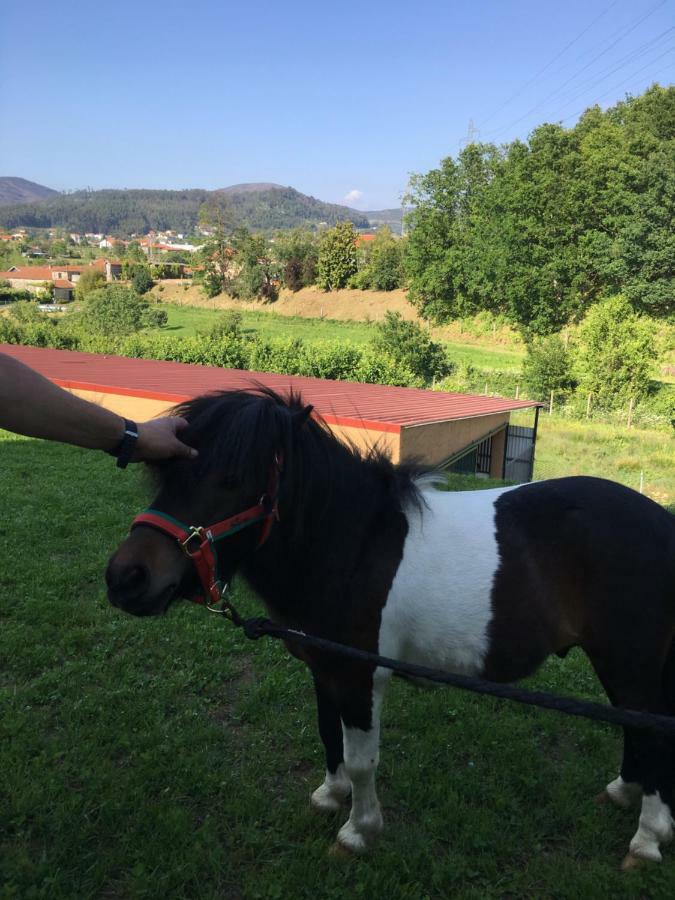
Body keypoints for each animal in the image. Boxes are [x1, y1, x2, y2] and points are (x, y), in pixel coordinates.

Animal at [105, 386, 675, 864]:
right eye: (167, 473)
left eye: (234, 479)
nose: (126, 578)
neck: (353, 544)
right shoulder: (326, 669)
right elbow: (329, 735)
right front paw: (331, 795)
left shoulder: (361, 677)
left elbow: (362, 760)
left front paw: (359, 831)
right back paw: (623, 793)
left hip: (632, 661)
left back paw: (646, 839)